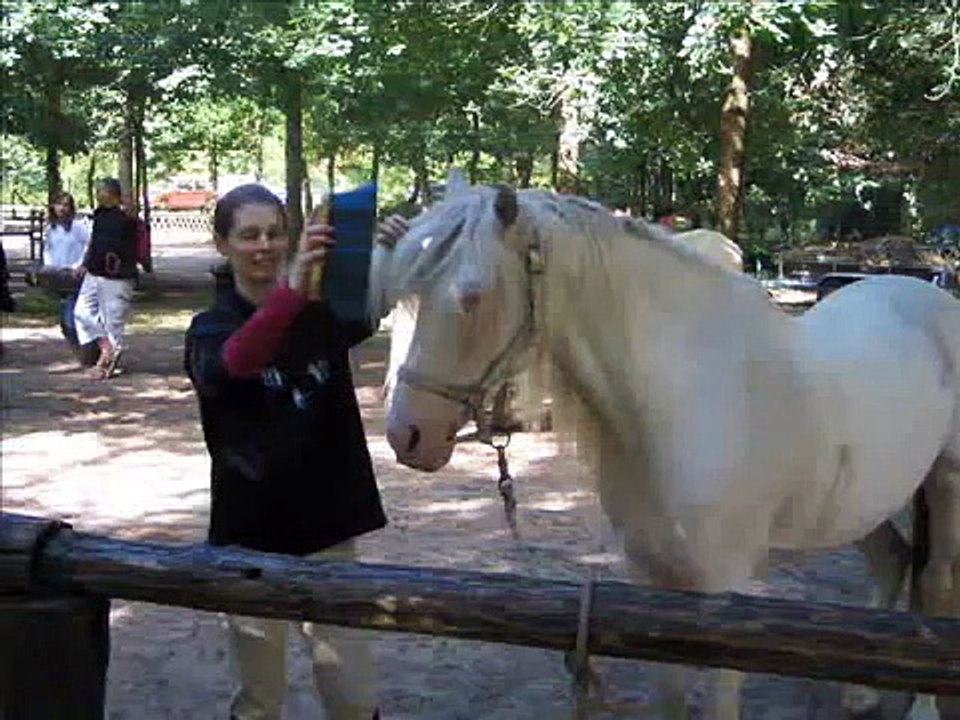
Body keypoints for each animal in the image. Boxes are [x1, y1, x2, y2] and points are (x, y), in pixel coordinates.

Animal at [368, 178, 960, 719]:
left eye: (473, 296)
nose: (406, 434)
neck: (683, 403)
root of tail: (929, 295)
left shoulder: (725, 594)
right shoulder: (654, 583)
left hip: (944, 485)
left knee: (935, 583)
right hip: (858, 500)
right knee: (892, 562)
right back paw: (861, 692)